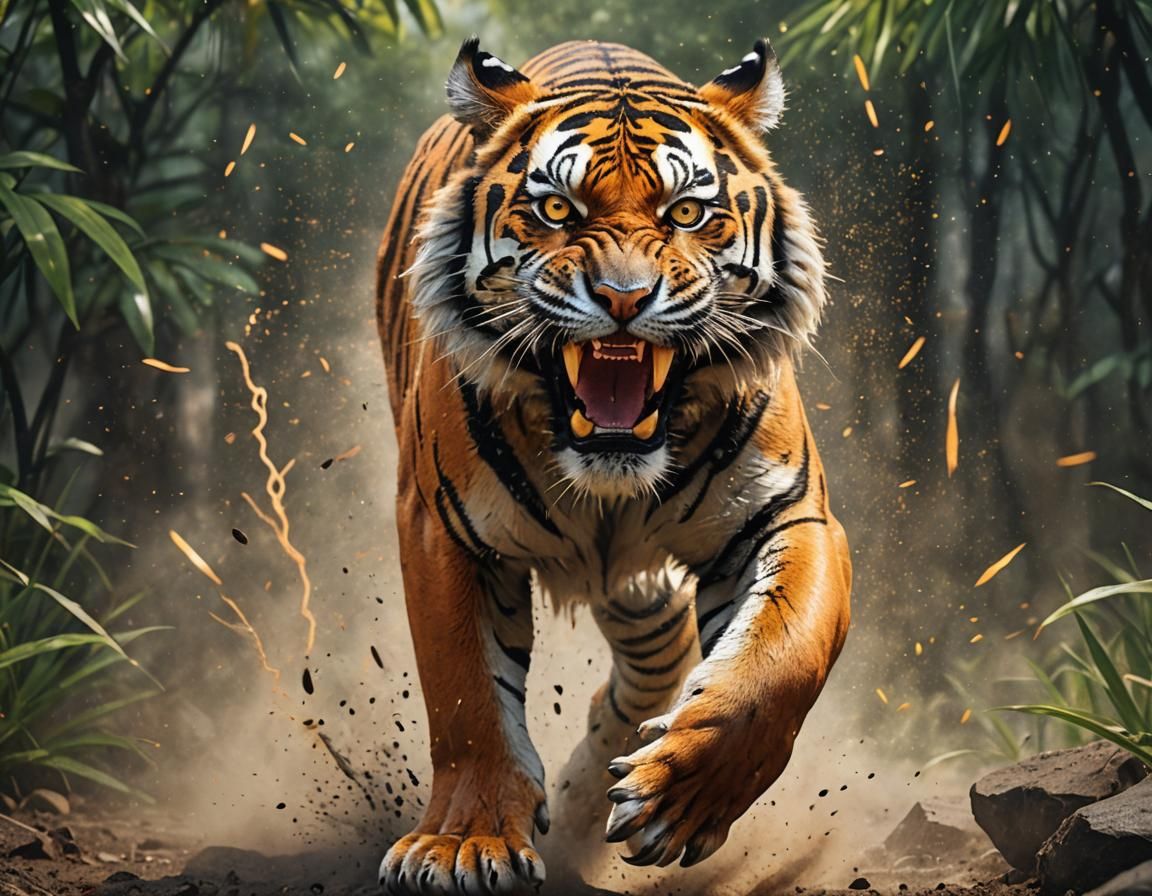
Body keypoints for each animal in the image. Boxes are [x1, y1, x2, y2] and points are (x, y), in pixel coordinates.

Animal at [374, 35, 852, 895]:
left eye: (686, 212)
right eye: (558, 210)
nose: (625, 298)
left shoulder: (790, 515)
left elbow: (778, 663)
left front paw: (676, 801)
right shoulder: (441, 528)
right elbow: (464, 692)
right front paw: (465, 844)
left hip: (644, 593)